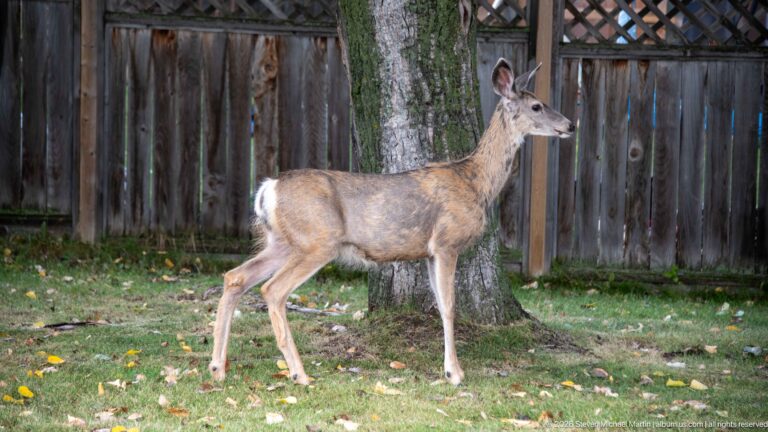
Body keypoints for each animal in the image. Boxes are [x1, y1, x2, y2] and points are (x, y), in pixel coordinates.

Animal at [208, 58, 574, 386]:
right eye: (537, 106)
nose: (571, 125)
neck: (476, 182)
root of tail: (268, 189)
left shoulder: (429, 252)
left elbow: (440, 306)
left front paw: (449, 369)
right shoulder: (447, 242)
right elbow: (450, 307)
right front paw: (454, 374)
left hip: (283, 241)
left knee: (235, 277)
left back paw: (217, 368)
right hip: (317, 240)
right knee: (272, 290)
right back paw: (299, 374)